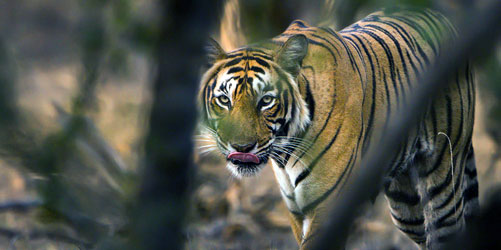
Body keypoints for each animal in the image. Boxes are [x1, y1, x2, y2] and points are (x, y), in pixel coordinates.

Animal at [195, 4, 476, 249]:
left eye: (266, 101)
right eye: (224, 100)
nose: (241, 147)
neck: (285, 150)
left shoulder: (326, 207)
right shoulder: (296, 211)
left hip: (443, 182)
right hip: (407, 205)